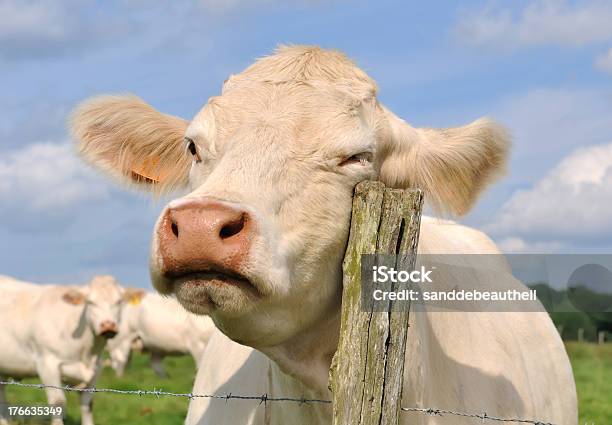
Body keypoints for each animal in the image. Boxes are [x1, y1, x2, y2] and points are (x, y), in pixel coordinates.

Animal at [0, 274, 124, 422]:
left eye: (119, 301)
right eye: (90, 302)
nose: (108, 325)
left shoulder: (97, 367)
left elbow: (87, 405)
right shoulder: (47, 363)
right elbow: (57, 402)